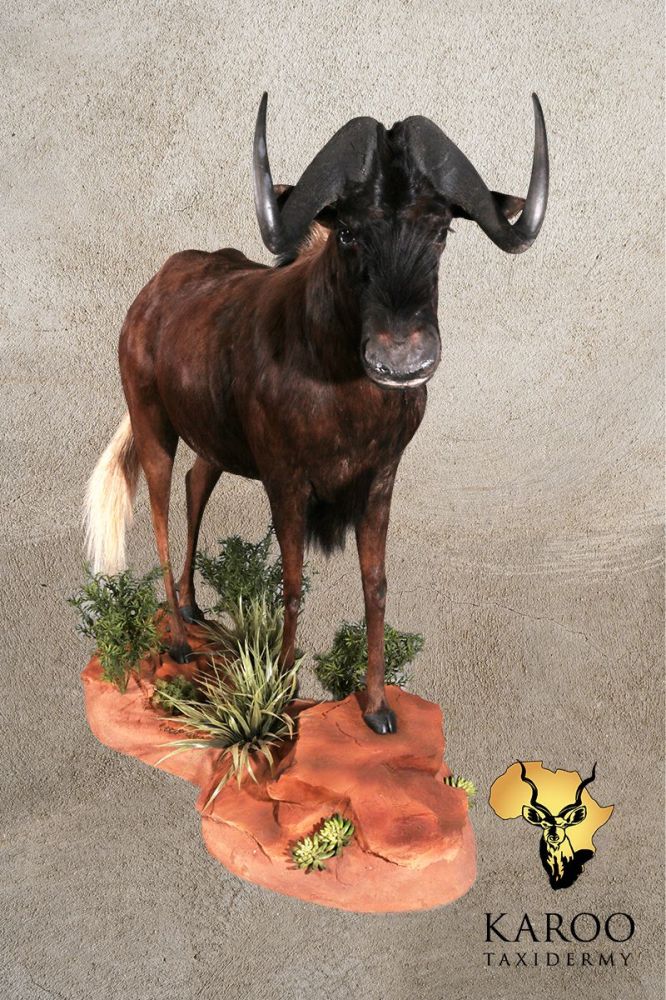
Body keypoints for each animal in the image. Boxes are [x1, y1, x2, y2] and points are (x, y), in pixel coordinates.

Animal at [84, 93, 549, 734]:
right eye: (348, 232)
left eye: (442, 230)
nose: (402, 361)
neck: (345, 391)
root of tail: (149, 297)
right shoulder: (286, 480)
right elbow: (293, 581)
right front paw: (280, 695)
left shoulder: (380, 478)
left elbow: (375, 583)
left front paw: (376, 705)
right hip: (153, 423)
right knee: (157, 511)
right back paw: (177, 641)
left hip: (212, 442)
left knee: (196, 482)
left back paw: (194, 605)